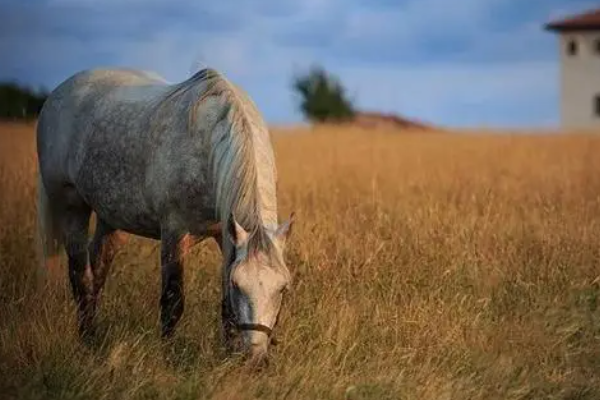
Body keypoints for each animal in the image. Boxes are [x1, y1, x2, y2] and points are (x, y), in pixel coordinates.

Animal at [36, 67, 294, 364]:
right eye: (238, 284)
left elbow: (225, 307)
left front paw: (228, 356)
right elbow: (173, 298)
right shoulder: (174, 231)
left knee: (97, 269)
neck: (207, 145)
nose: (254, 360)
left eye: (283, 288)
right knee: (81, 275)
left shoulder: (226, 234)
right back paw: (87, 339)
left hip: (111, 219)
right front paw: (168, 356)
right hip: (71, 207)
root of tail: (58, 94)